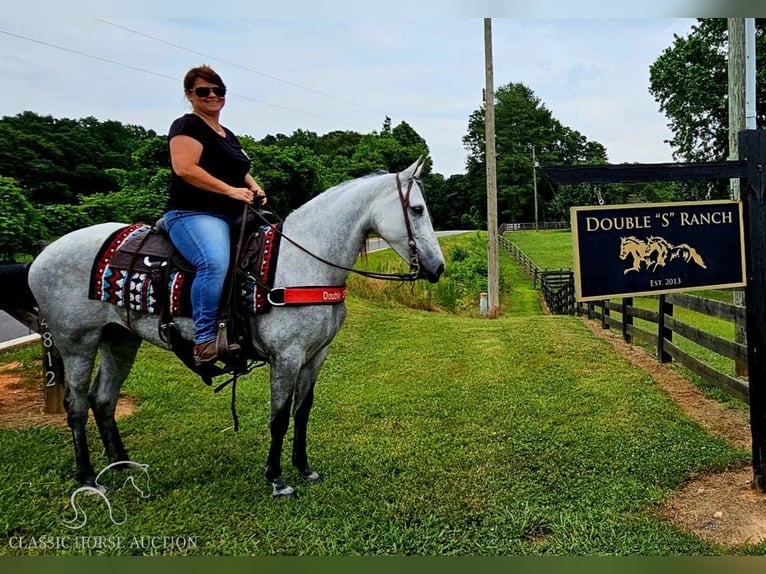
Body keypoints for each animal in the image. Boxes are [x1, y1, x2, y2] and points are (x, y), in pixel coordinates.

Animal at [27, 159, 448, 500]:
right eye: (417, 209)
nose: (438, 267)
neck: (300, 263)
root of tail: (42, 255)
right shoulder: (286, 356)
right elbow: (279, 416)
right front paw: (276, 479)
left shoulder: (316, 355)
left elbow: (303, 411)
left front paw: (304, 468)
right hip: (76, 343)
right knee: (76, 405)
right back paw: (88, 478)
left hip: (120, 339)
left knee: (103, 399)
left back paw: (123, 465)